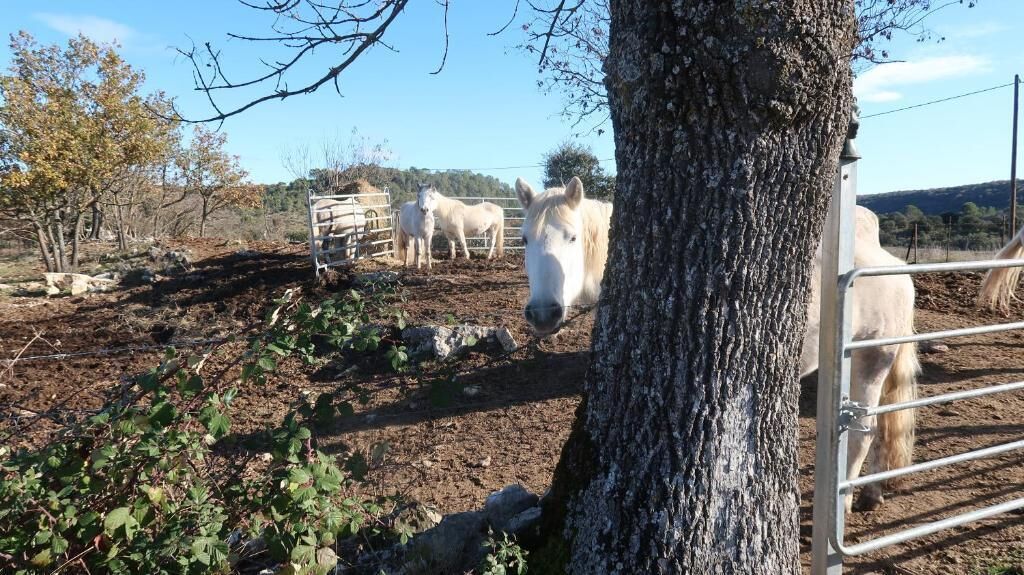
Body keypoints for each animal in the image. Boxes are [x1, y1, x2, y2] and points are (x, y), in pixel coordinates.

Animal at [514, 175, 919, 512]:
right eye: (525, 239)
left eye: (571, 237)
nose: (544, 313)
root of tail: (892, 267)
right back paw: (872, 492)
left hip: (871, 360)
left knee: (863, 432)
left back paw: (846, 501)